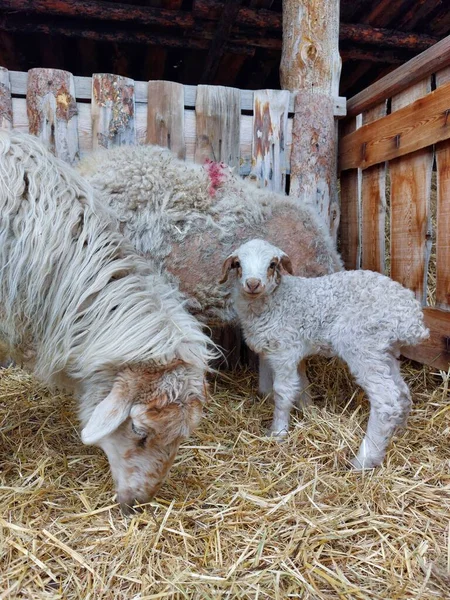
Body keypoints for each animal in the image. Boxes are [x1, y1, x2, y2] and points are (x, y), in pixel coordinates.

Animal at [221, 239, 428, 468]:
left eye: (272, 264)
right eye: (238, 263)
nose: (253, 283)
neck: (276, 301)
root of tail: (411, 317)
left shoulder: (285, 351)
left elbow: (282, 392)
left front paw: (278, 432)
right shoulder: (279, 351)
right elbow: (294, 385)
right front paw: (308, 411)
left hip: (362, 345)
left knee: (386, 400)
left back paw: (364, 459)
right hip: (386, 351)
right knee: (402, 392)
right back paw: (397, 433)